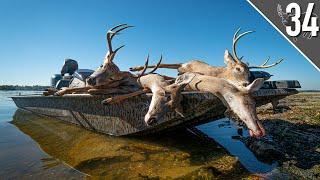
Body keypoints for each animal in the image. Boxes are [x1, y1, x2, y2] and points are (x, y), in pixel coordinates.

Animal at [129, 28, 284, 87]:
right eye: (238, 68)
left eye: (250, 72)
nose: (246, 83)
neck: (220, 74)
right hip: (184, 63)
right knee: (168, 64)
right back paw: (134, 68)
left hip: (182, 65)